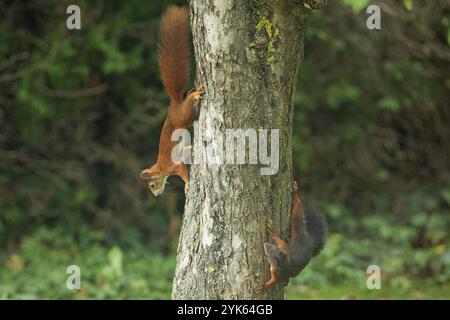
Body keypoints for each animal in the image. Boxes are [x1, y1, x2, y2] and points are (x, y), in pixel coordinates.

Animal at [140, 6, 205, 196]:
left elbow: (183, 172)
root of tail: (175, 104)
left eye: (152, 185)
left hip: (183, 116)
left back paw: (194, 95)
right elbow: (187, 150)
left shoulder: (173, 166)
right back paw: (191, 91)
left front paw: (187, 185)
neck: (160, 168)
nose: (156, 195)